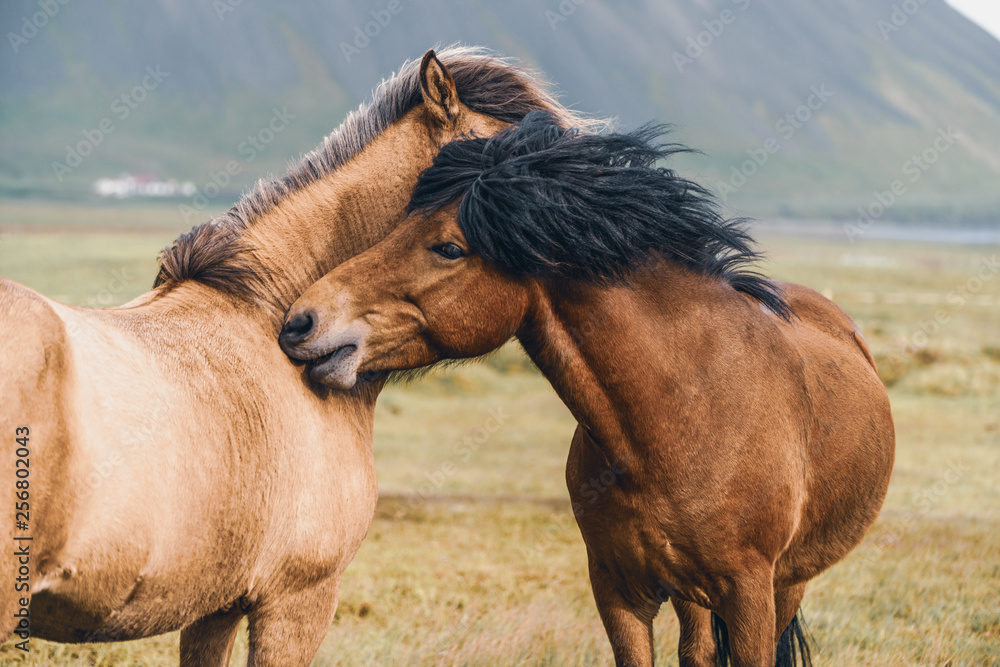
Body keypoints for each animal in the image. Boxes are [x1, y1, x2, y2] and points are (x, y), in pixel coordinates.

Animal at [282, 113, 900, 667]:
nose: (300, 322)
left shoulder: (749, 595)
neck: (684, 414)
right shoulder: (617, 591)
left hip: (787, 583)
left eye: (449, 248)